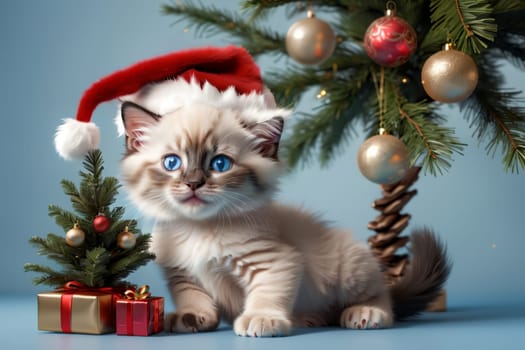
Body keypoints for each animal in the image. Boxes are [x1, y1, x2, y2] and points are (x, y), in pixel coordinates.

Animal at [119, 95, 450, 336]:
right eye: (172, 162)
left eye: (220, 164)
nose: (193, 183)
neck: (198, 230)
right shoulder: (181, 272)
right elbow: (193, 296)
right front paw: (192, 316)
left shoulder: (275, 261)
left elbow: (267, 293)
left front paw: (261, 319)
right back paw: (311, 318)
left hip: (350, 269)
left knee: (383, 297)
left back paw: (365, 313)